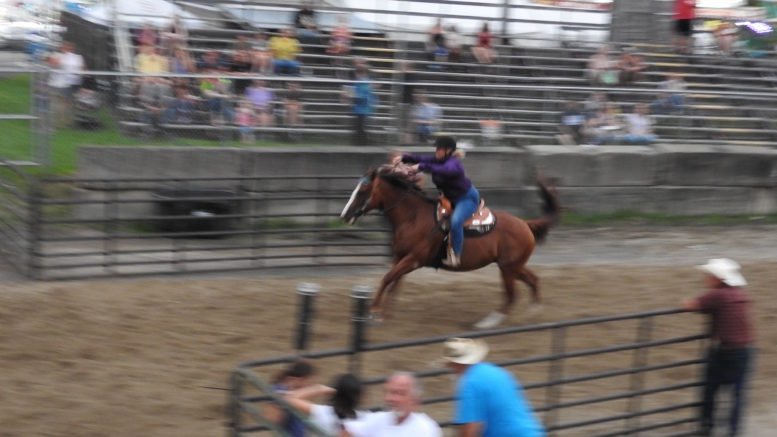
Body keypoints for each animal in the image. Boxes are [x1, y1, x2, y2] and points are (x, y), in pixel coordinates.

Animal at [340, 164, 556, 328]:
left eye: (363, 190)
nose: (345, 215)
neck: (413, 217)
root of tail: (525, 224)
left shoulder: (414, 259)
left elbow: (387, 279)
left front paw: (374, 310)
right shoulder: (400, 258)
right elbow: (394, 283)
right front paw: (384, 314)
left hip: (508, 268)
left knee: (512, 295)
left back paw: (487, 323)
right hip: (513, 266)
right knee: (533, 280)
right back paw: (534, 313)